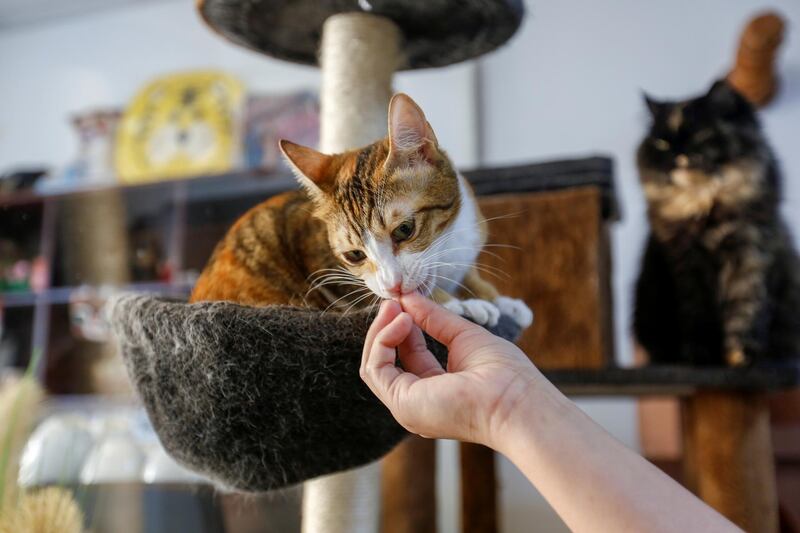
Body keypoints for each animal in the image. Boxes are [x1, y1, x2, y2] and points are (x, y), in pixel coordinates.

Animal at [191, 94, 536, 328]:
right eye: (355, 255)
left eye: (404, 230)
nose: (393, 283)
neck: (449, 245)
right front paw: (458, 304)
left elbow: (470, 273)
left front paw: (497, 298)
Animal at [636, 80, 796, 366]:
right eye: (662, 143)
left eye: (700, 135)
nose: (677, 154)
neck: (707, 206)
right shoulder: (685, 261)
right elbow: (697, 314)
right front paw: (700, 356)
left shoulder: (751, 251)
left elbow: (747, 307)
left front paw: (740, 355)